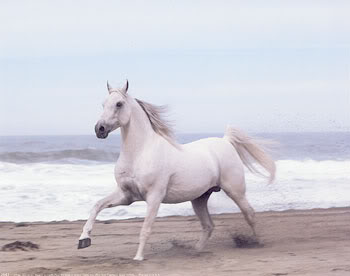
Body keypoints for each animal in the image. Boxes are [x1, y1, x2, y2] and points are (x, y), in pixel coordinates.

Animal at [77, 80, 276, 260]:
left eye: (119, 104)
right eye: (103, 104)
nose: (99, 129)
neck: (140, 153)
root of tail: (226, 141)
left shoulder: (154, 197)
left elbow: (145, 228)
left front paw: (138, 258)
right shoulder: (126, 195)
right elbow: (97, 206)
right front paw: (83, 240)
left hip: (235, 191)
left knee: (249, 214)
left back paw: (256, 242)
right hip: (199, 199)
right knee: (208, 225)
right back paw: (195, 251)